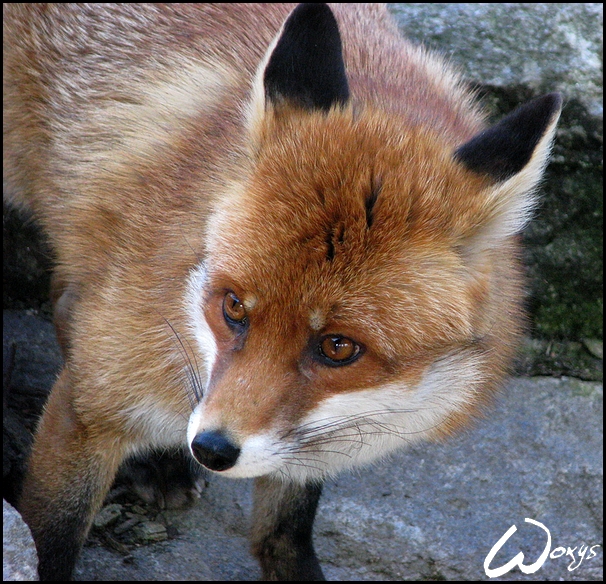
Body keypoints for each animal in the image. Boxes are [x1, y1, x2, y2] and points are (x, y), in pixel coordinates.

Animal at [4, 3, 564, 580]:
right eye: (233, 307)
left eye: (338, 347)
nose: (212, 449)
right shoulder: (91, 403)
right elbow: (53, 534)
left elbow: (285, 525)